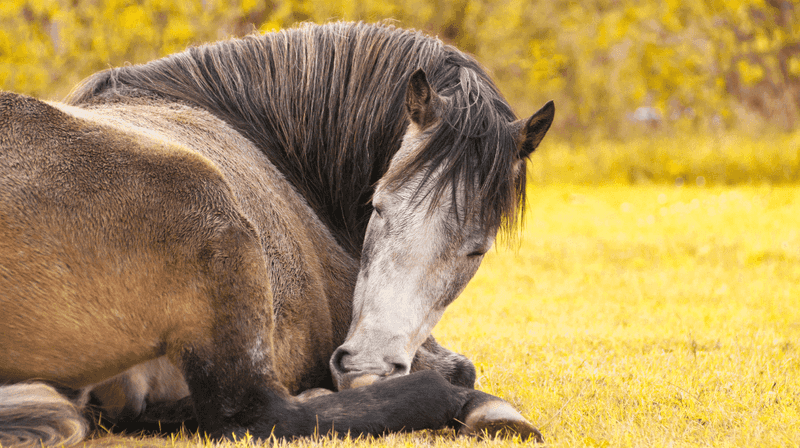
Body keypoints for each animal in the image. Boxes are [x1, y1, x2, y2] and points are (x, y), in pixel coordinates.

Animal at [0, 21, 552, 448]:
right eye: (378, 205)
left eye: (476, 250)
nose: (367, 365)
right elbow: (461, 369)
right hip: (215, 225)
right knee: (255, 414)